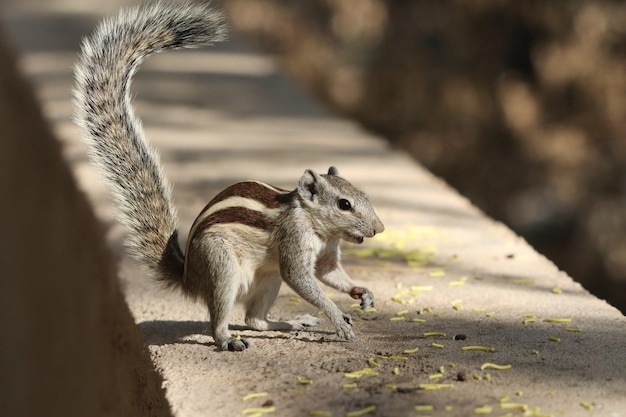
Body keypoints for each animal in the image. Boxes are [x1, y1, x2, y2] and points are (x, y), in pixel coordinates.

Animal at [71, 1, 382, 350]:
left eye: (364, 195)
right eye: (344, 204)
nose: (379, 228)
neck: (317, 226)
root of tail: (189, 277)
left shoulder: (326, 253)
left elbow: (329, 273)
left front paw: (362, 292)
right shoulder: (293, 239)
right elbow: (304, 280)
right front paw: (338, 319)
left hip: (267, 278)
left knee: (255, 319)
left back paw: (292, 321)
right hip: (222, 268)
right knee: (220, 319)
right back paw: (229, 340)